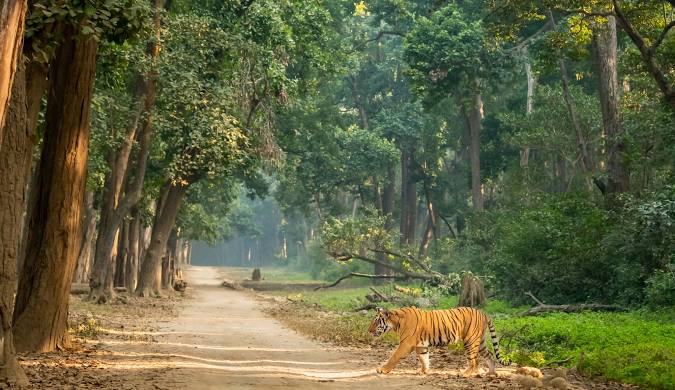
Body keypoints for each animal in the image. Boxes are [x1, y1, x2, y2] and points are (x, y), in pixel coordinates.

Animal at [370, 306, 512, 376]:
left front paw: (382, 370)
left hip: (470, 341)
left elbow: (394, 356)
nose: (369, 331)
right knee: (490, 356)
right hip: (480, 342)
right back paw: (491, 373)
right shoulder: (421, 346)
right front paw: (424, 371)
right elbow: (424, 359)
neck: (396, 322)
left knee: (474, 361)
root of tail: (484, 313)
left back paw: (465, 374)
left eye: (376, 321)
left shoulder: (406, 344)